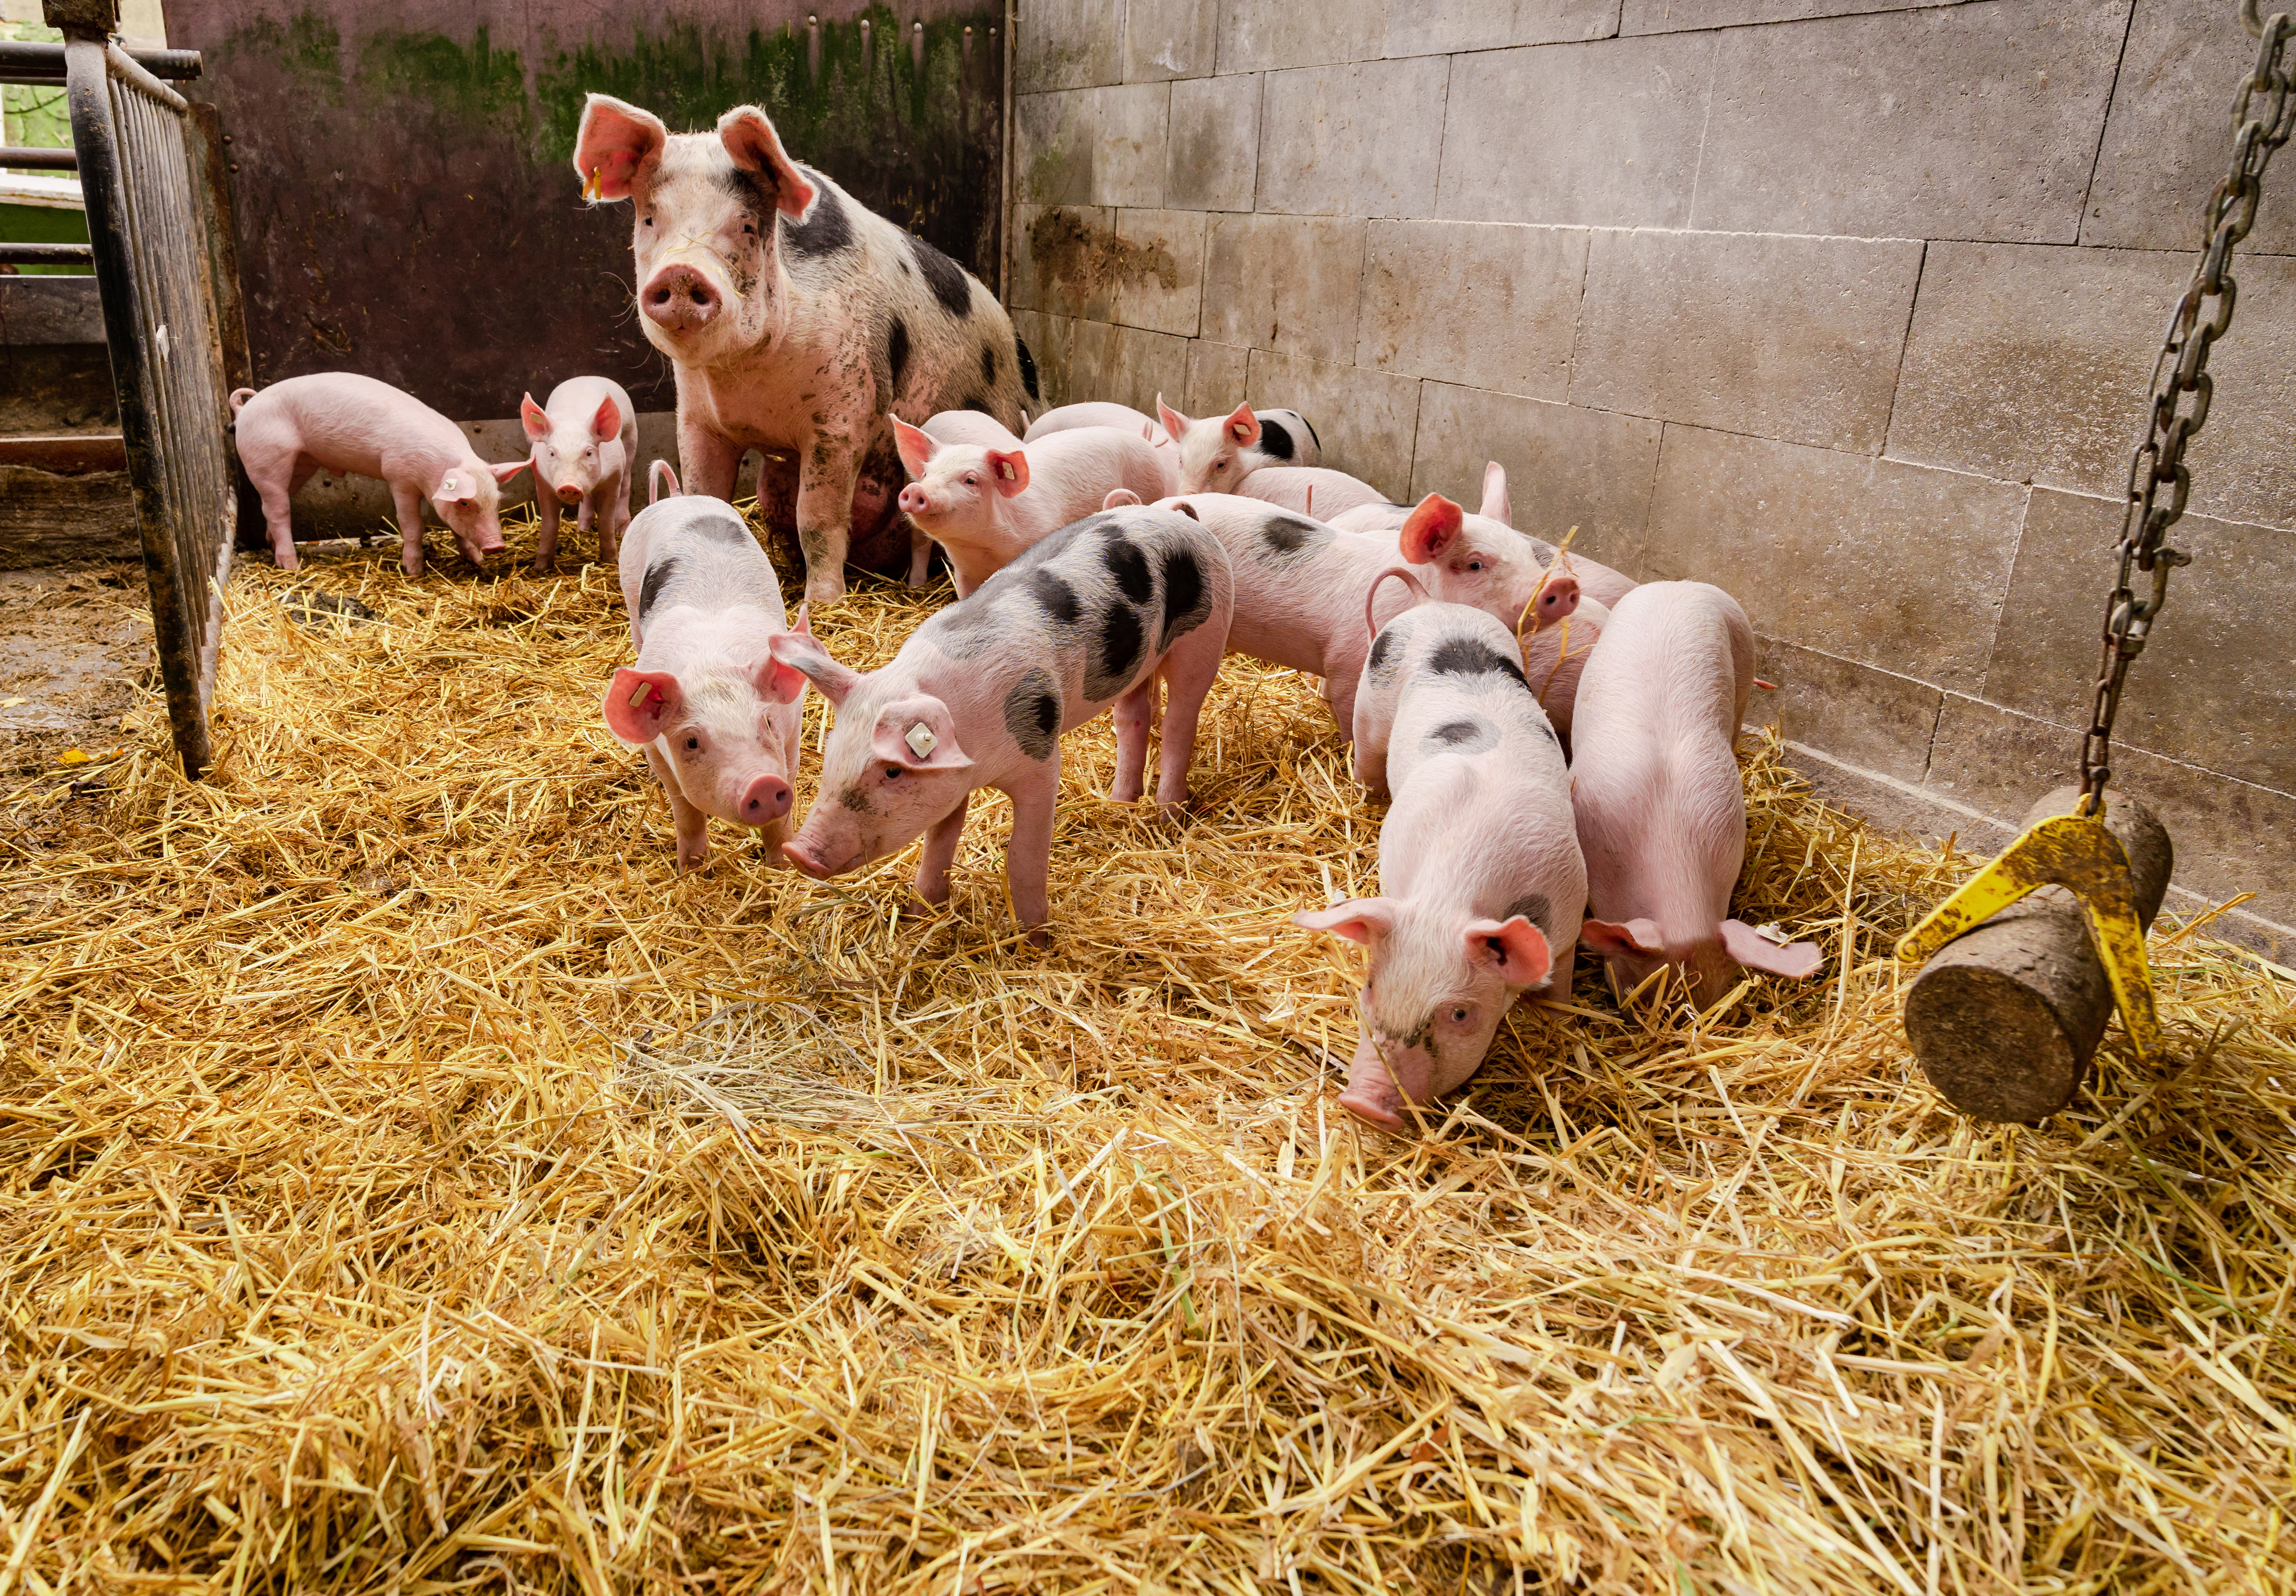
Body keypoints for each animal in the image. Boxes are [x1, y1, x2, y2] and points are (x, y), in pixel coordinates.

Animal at [574, 95, 1042, 606]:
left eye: (746, 224)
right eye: (649, 219)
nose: (682, 273)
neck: (746, 376)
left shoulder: (844, 415)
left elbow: (818, 519)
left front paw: (822, 602)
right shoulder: (697, 418)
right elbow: (706, 492)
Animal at [606, 500, 812, 872]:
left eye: (767, 722)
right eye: (691, 741)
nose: (762, 783)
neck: (711, 664)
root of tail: (678, 498)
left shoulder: (792, 729)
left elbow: (784, 806)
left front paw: (780, 869)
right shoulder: (657, 751)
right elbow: (685, 811)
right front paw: (690, 869)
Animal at [771, 510, 1230, 937]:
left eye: (892, 771)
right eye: (832, 753)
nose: (798, 852)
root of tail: (1182, 520)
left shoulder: (1041, 759)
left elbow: (1022, 854)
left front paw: (1035, 939)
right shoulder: (951, 776)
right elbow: (941, 839)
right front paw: (923, 912)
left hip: (1204, 637)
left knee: (1179, 723)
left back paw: (1167, 818)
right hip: (1135, 665)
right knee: (1133, 717)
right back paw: (1120, 803)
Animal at [1304, 597, 1588, 1134]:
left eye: (1459, 1014)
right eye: (1370, 986)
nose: (1364, 1103)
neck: (1454, 888)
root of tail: (1434, 605)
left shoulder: (1569, 916)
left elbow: (1559, 979)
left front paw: (1560, 1020)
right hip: (1370, 707)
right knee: (1366, 756)